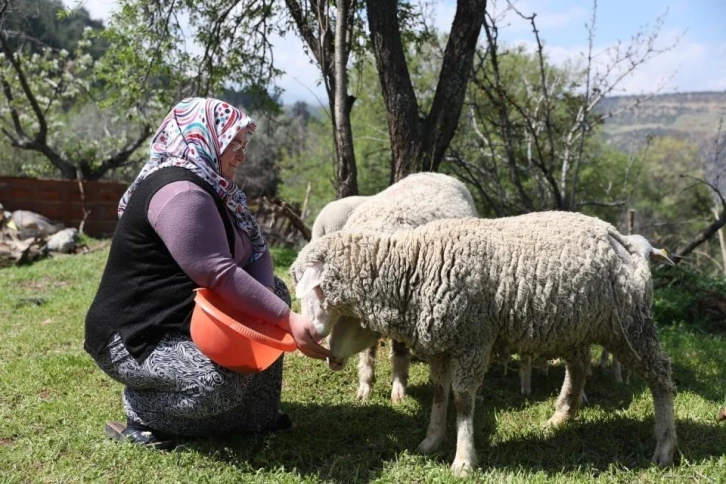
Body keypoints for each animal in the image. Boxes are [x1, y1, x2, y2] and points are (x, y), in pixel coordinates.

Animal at [292, 213, 680, 476]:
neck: (413, 267)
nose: (308, 332)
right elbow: (438, 394)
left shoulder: (473, 341)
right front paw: (431, 441)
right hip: (576, 326)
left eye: (310, 287)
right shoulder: (441, 345)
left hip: (629, 326)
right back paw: (559, 418)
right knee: (579, 368)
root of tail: (619, 237)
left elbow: (463, 400)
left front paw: (463, 460)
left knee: (661, 376)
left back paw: (664, 446)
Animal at [334, 172, 478, 402]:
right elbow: (368, 352)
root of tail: (438, 174)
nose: (334, 361)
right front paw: (365, 387)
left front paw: (399, 390)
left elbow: (400, 352)